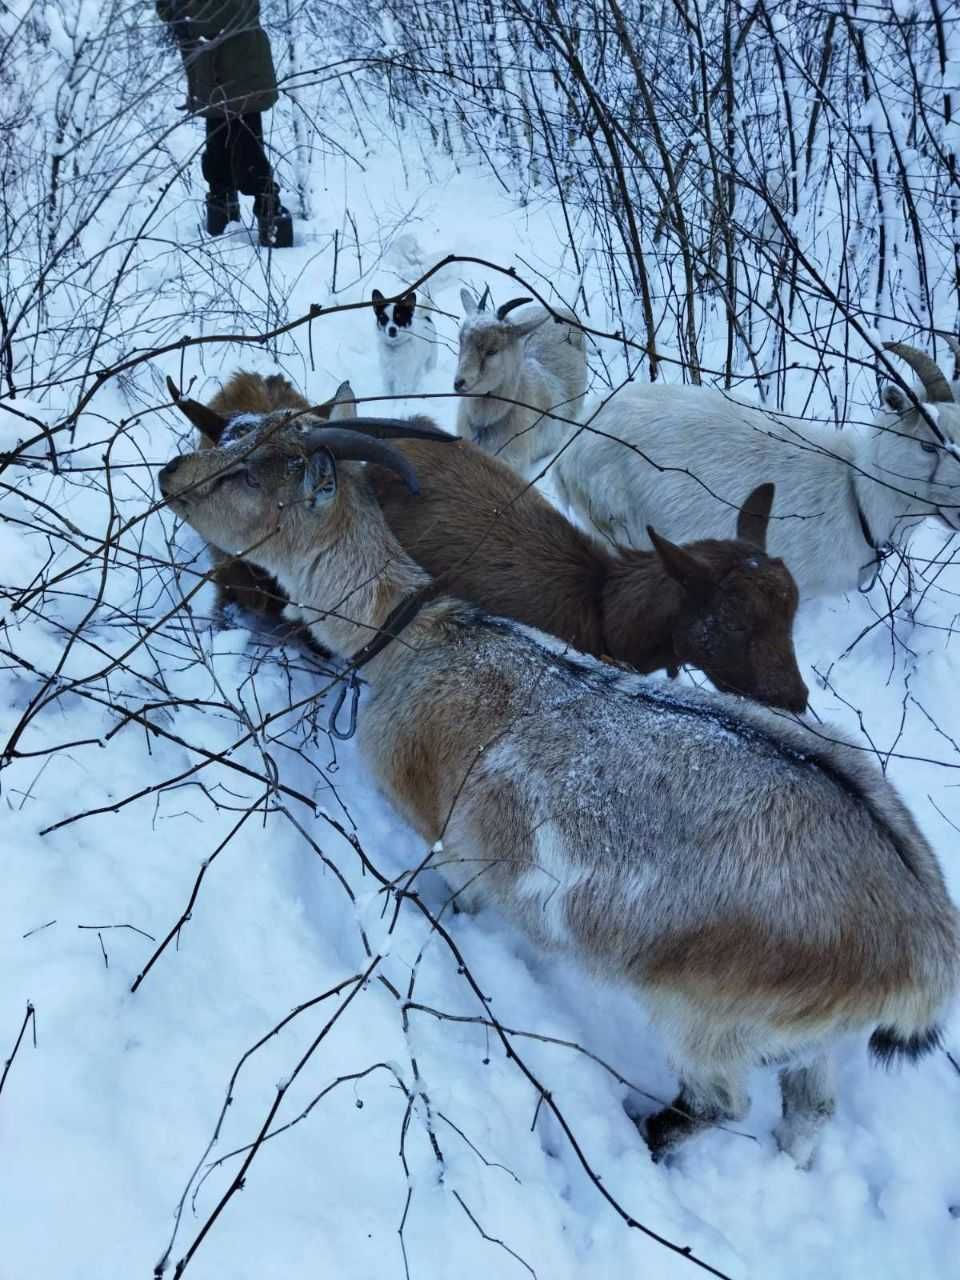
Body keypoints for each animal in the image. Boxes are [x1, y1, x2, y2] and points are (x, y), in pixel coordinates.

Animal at [160, 404, 960, 1167]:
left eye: (250, 475)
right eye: (234, 439)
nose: (171, 475)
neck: (423, 638)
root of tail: (925, 940)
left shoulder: (454, 843)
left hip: (712, 1010)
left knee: (720, 1101)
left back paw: (641, 1131)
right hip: (814, 1033)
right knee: (809, 1109)